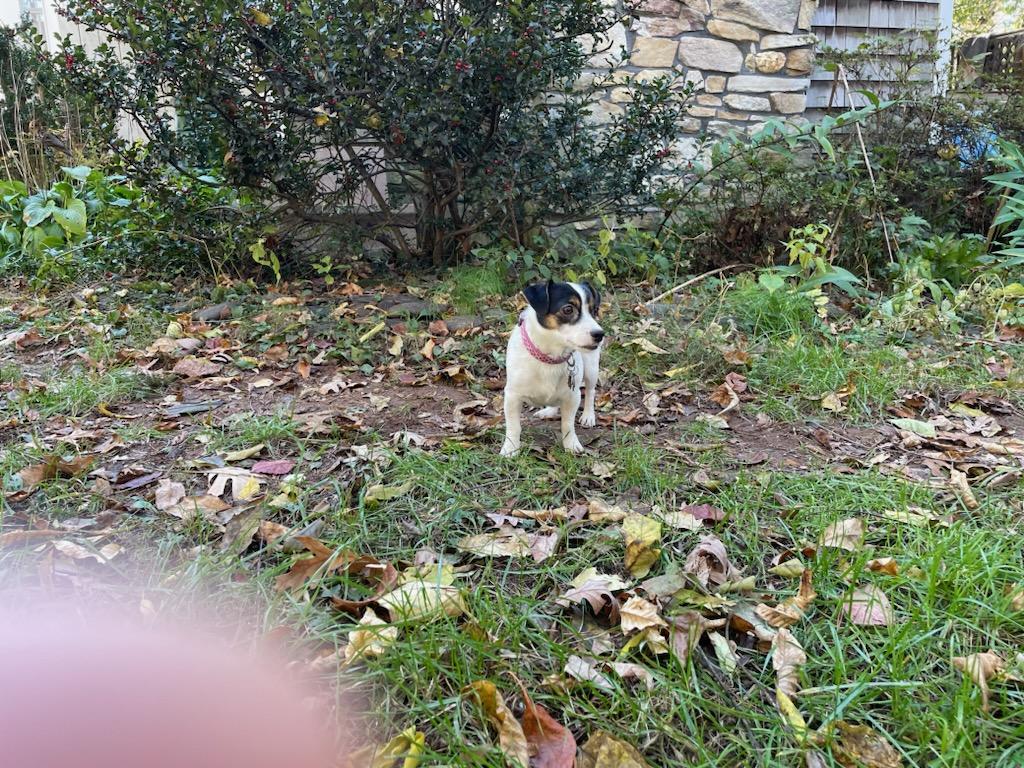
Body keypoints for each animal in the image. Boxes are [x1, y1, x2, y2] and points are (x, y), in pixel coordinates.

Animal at [501, 279, 604, 456]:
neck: (550, 358)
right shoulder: (512, 396)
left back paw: (588, 416)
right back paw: (548, 411)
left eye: (594, 310)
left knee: (590, 391)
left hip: (591, 368)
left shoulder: (572, 396)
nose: (600, 334)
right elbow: (514, 426)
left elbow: (568, 424)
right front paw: (511, 448)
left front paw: (571, 445)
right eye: (568, 309)